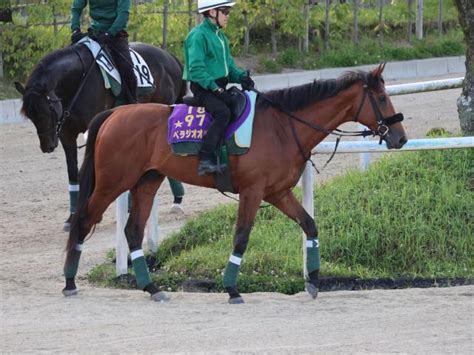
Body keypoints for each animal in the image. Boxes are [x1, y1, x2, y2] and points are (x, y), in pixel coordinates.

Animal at [15, 41, 185, 231]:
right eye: (30, 116)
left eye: (47, 111)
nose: (47, 146)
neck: (78, 80)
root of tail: (169, 57)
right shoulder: (67, 136)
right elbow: (73, 173)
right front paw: (71, 218)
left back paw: (177, 200)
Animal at [65, 63, 408, 304]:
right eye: (381, 98)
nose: (401, 137)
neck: (283, 126)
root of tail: (114, 114)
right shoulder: (252, 192)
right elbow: (241, 237)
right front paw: (231, 288)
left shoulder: (277, 192)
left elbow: (309, 225)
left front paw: (312, 280)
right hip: (112, 183)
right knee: (84, 219)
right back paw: (69, 281)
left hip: (147, 182)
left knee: (133, 231)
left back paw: (152, 288)